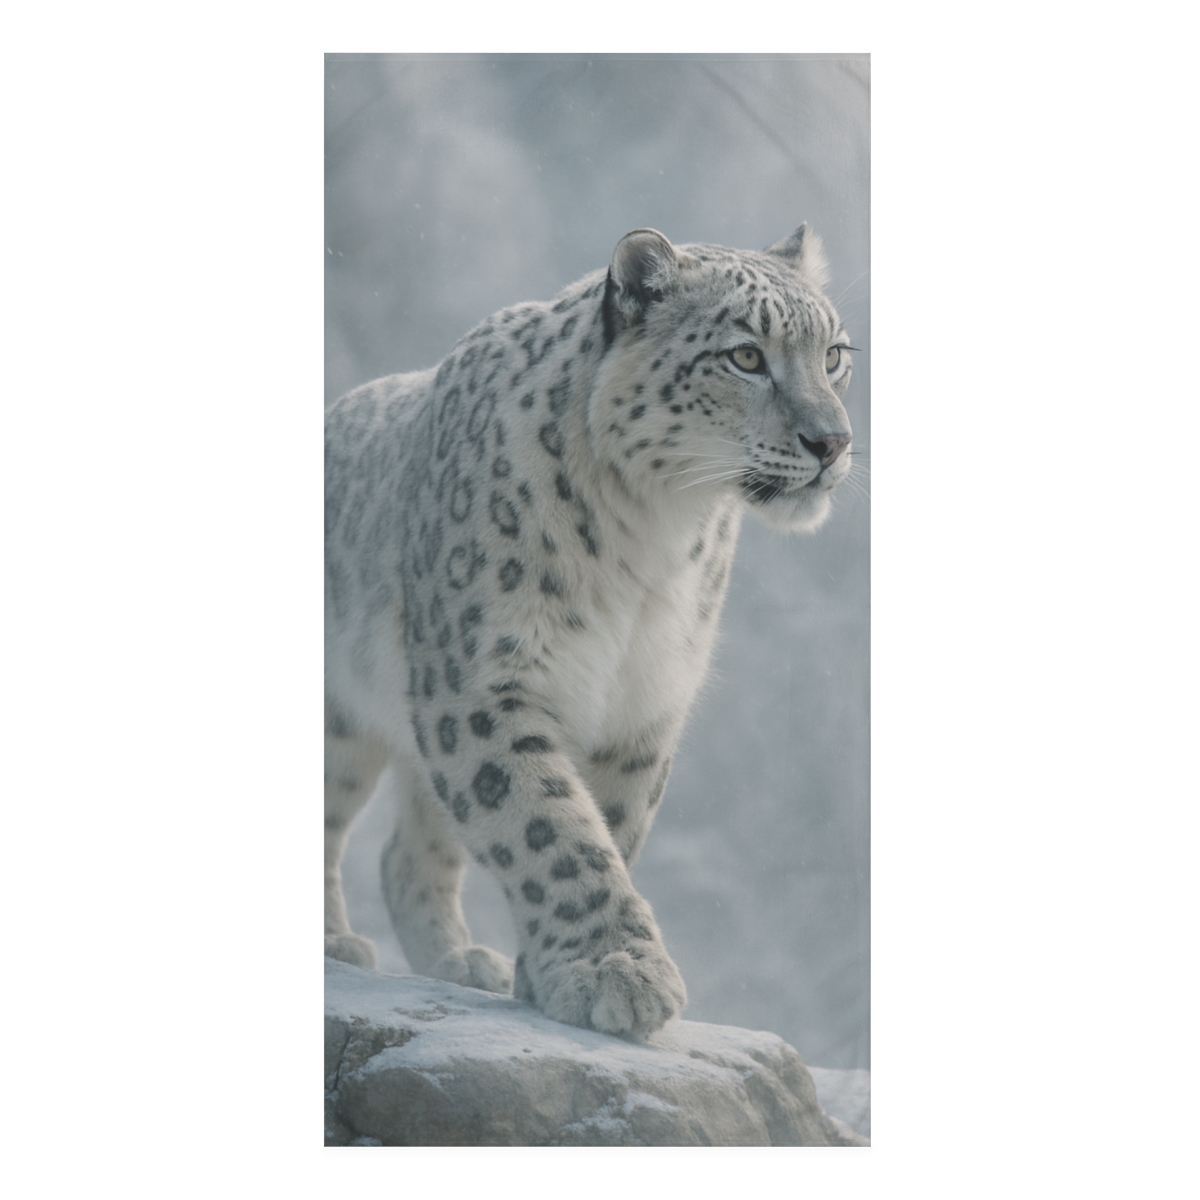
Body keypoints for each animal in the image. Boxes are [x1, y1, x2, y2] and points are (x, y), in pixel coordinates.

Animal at [325, 224, 856, 1039]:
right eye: (745, 356)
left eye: (834, 354)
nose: (833, 441)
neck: (652, 537)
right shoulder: (483, 684)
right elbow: (548, 826)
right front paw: (618, 972)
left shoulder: (644, 702)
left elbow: (605, 824)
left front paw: (557, 973)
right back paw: (336, 942)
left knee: (410, 849)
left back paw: (459, 960)